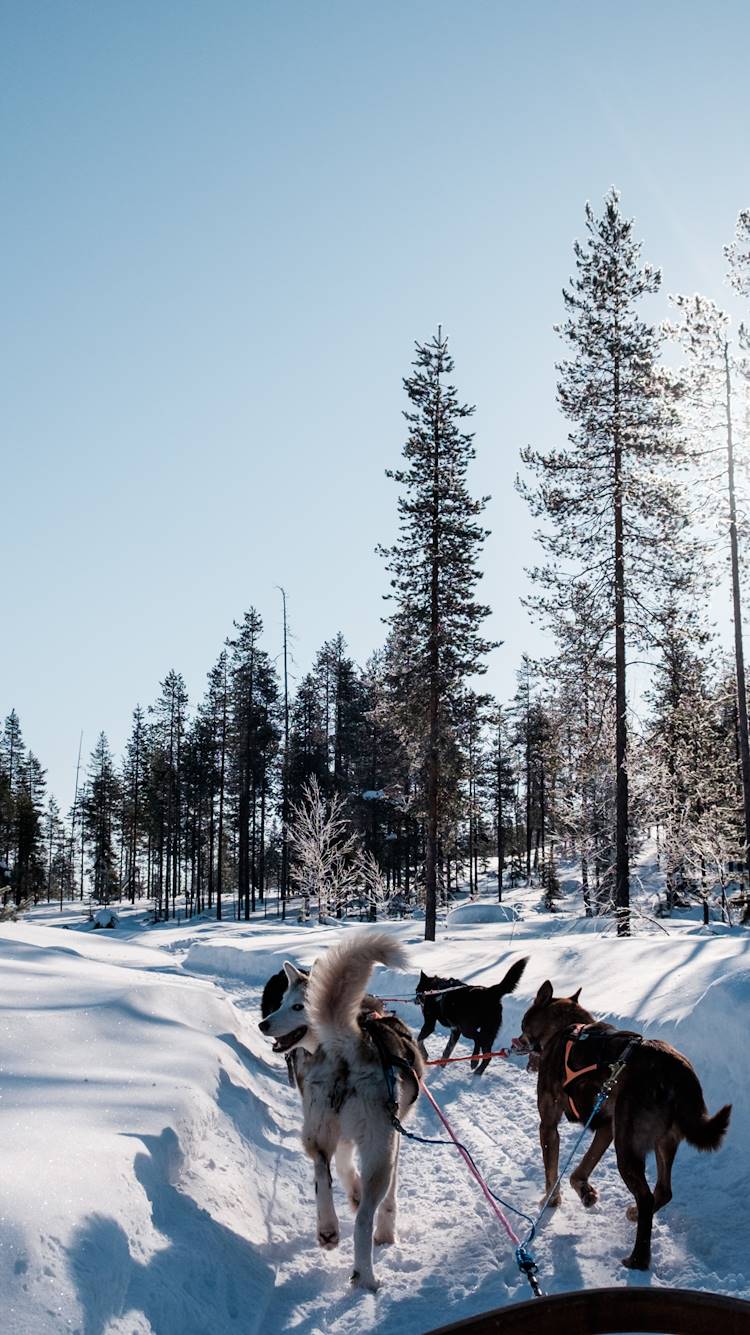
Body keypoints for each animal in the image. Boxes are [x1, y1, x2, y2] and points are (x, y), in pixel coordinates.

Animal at [509, 982, 725, 1270]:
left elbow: (552, 1172)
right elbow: (581, 1169)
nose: (517, 1040)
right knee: (664, 1191)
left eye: (523, 1022)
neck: (564, 1030)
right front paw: (585, 1192)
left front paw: (551, 1199)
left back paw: (638, 1258)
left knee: (646, 1196)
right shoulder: (605, 1128)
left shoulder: (549, 1125)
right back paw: (635, 1215)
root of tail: (678, 1073)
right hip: (660, 1141)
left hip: (627, 1147)